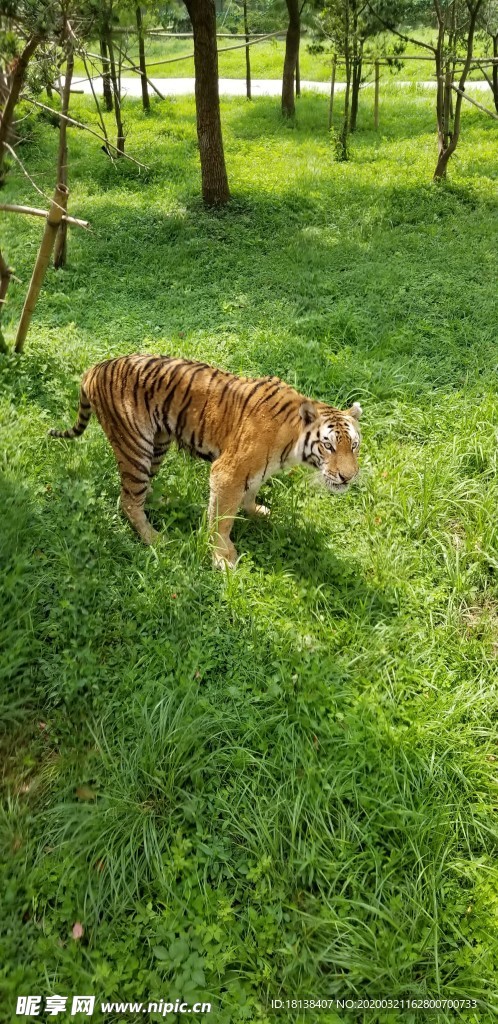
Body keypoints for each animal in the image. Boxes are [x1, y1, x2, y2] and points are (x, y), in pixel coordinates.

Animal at [49, 354, 362, 567]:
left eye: (354, 446)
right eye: (328, 446)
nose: (348, 477)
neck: (292, 441)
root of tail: (95, 368)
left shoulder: (250, 474)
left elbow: (245, 496)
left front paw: (255, 511)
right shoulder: (227, 472)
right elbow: (222, 519)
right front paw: (223, 558)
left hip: (157, 446)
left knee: (137, 492)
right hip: (135, 447)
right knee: (128, 500)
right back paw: (155, 538)